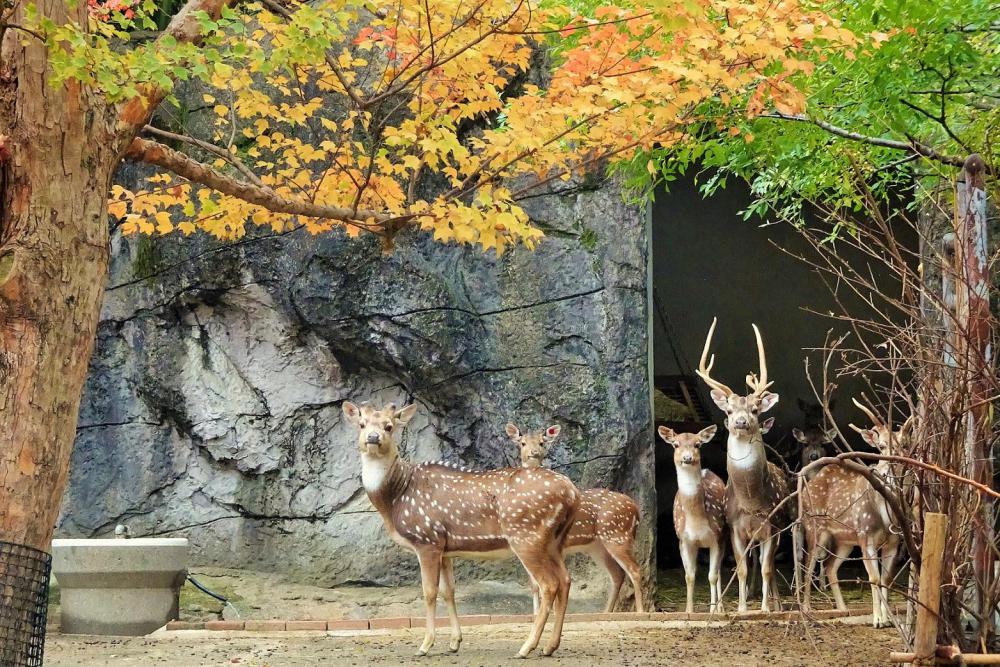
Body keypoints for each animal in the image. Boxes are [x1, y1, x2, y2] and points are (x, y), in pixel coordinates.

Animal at [344, 402, 580, 656]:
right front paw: (454, 642)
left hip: (526, 536)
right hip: (555, 541)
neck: (394, 499)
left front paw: (425, 645)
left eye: (389, 426)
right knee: (565, 580)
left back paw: (526, 647)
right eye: (362, 424)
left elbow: (429, 592)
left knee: (549, 584)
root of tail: (572, 492)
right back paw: (549, 646)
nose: (373, 437)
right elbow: (449, 591)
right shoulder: (445, 548)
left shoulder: (426, 540)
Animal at [508, 426, 648, 612]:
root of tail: (636, 509)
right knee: (618, 574)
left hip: (618, 535)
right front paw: (536, 613)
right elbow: (534, 585)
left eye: (542, 442)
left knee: (635, 570)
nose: (534, 453)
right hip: (598, 546)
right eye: (522, 443)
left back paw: (639, 611)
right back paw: (606, 612)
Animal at [656, 426, 728, 612]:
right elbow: (689, 576)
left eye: (698, 444)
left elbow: (712, 576)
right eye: (675, 444)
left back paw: (720, 607)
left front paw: (712, 610)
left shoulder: (717, 537)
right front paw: (689, 610)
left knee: (719, 572)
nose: (687, 458)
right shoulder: (683, 540)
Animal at [696, 318, 788, 612]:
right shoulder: (735, 527)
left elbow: (768, 568)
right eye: (728, 410)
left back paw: (777, 603)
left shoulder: (771, 525)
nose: (740, 421)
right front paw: (742, 608)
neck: (751, 501)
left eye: (755, 410)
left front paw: (766, 608)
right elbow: (742, 568)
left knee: (770, 565)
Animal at [800, 400, 912, 628]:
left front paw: (887, 619)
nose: (889, 469)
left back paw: (843, 608)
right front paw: (877, 620)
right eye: (881, 447)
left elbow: (886, 579)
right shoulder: (865, 535)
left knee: (829, 567)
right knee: (808, 564)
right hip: (815, 528)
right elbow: (874, 578)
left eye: (904, 445)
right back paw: (807, 609)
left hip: (844, 541)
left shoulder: (893, 541)